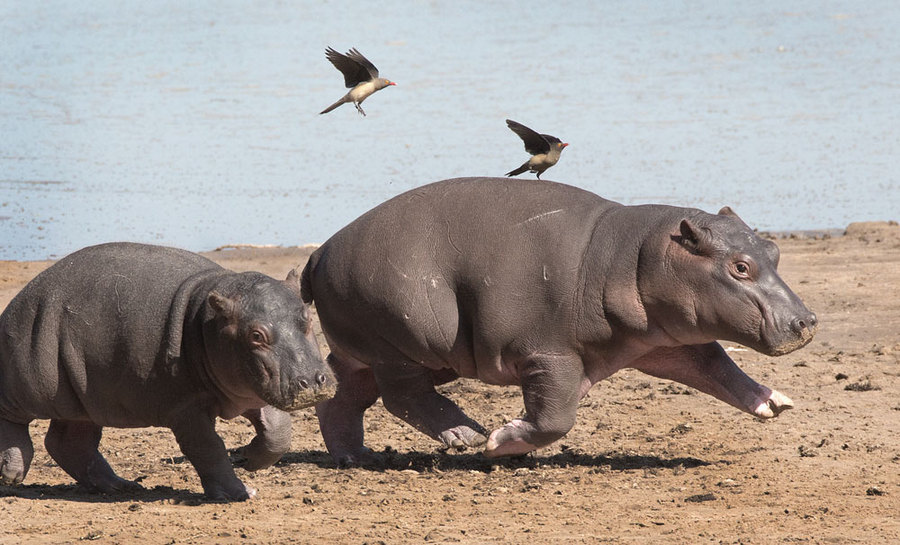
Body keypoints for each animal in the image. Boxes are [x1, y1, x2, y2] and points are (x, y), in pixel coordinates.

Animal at [0, 244, 334, 500]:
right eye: (256, 335)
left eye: (307, 316)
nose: (313, 381)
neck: (207, 320)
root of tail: (18, 300)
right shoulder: (186, 408)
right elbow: (208, 447)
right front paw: (238, 493)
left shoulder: (252, 388)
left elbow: (278, 430)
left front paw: (248, 459)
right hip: (31, 381)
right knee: (13, 418)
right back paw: (12, 473)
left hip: (85, 401)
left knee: (69, 442)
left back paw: (123, 487)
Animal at [300, 177, 816, 464]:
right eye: (740, 267)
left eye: (772, 250)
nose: (807, 321)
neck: (637, 256)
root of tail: (319, 252)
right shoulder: (549, 354)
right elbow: (555, 418)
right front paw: (498, 442)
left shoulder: (664, 342)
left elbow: (717, 366)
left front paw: (773, 401)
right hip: (406, 340)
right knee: (402, 395)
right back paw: (465, 435)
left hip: (385, 351)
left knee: (344, 392)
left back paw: (354, 456)